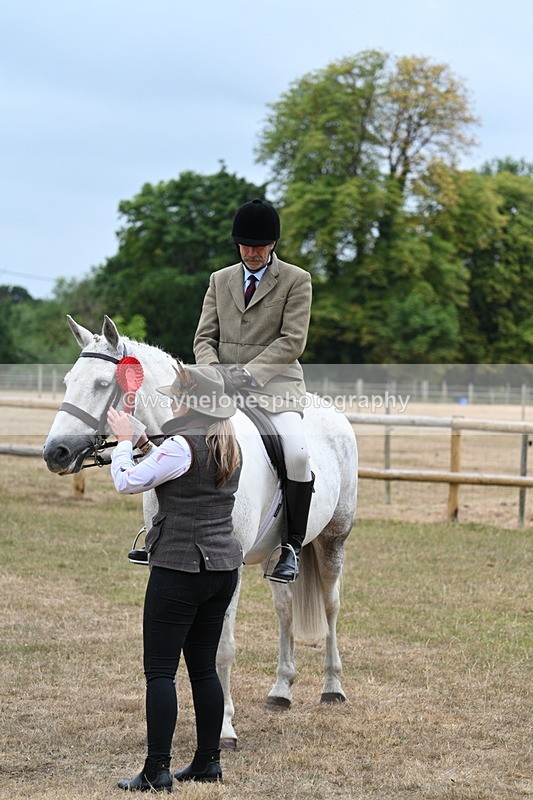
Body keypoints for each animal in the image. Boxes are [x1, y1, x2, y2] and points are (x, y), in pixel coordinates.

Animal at [43, 315, 358, 749]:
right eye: (69, 380)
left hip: (333, 540)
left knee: (330, 606)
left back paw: (333, 688)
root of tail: (330, 411)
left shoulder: (229, 567)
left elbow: (221, 648)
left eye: (103, 384)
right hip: (277, 554)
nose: (54, 453)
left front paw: (223, 727)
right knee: (286, 610)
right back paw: (281, 691)